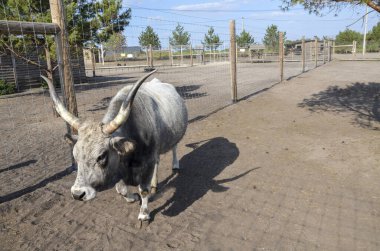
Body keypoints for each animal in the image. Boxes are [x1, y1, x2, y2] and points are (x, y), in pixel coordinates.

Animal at [42, 69, 189, 221]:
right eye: (75, 156)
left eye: (101, 156)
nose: (78, 194)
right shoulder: (118, 164)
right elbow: (121, 190)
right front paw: (132, 197)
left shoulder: (148, 162)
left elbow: (144, 190)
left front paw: (144, 213)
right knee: (158, 161)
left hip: (174, 137)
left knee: (174, 148)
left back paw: (175, 164)